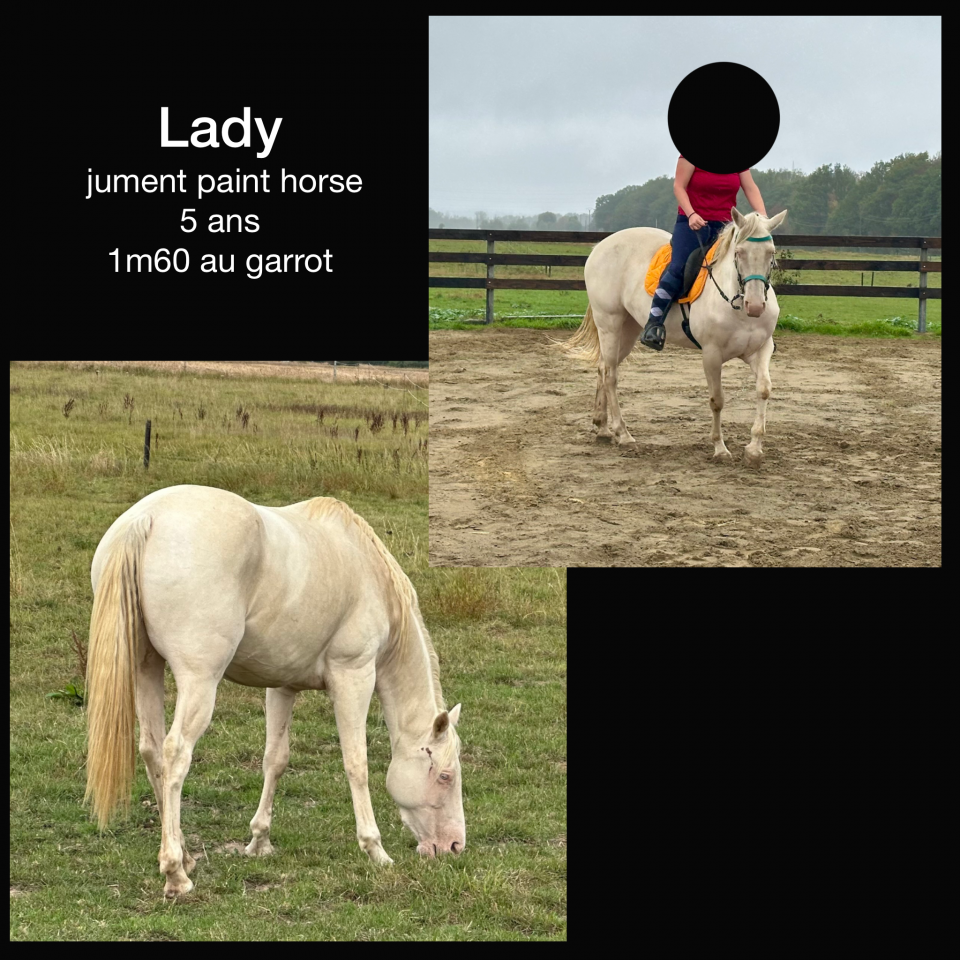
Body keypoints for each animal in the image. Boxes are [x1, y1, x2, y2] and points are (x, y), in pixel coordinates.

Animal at [85, 484, 464, 898]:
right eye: (445, 776)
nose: (454, 846)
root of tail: (147, 518)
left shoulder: (282, 685)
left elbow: (275, 760)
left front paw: (259, 841)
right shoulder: (354, 676)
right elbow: (356, 763)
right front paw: (374, 849)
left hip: (145, 668)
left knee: (152, 750)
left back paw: (184, 855)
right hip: (199, 681)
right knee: (175, 754)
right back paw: (175, 873)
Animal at [560, 207, 789, 465]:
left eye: (771, 253)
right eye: (739, 253)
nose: (756, 305)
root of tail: (600, 246)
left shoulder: (759, 351)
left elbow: (764, 389)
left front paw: (754, 448)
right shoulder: (711, 355)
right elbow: (717, 400)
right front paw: (720, 448)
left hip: (627, 330)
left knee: (603, 368)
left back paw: (602, 428)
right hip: (609, 324)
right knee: (610, 376)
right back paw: (623, 433)